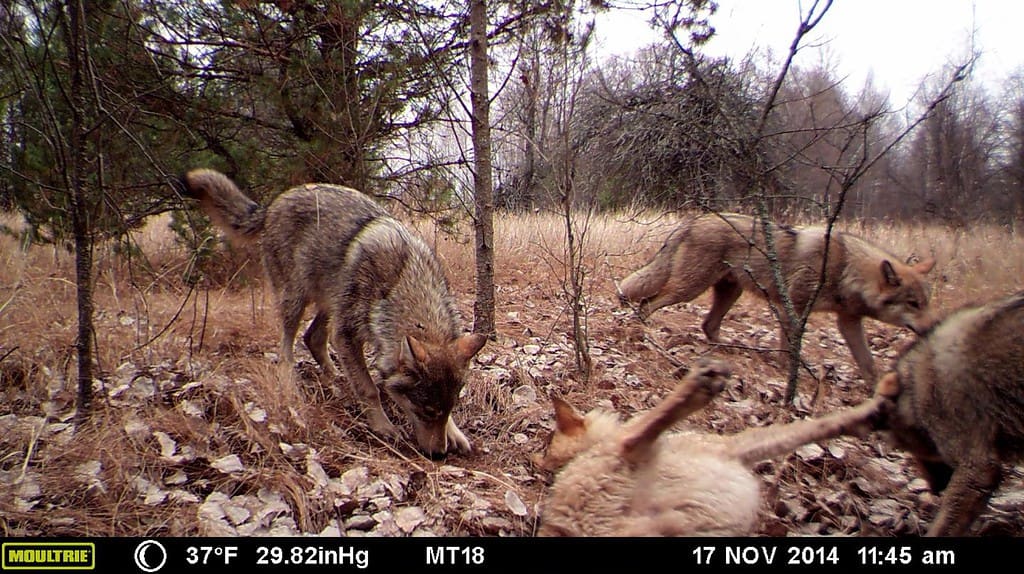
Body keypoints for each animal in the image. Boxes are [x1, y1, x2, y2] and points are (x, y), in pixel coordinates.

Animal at [182, 168, 485, 456]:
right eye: (426, 411)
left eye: (448, 409)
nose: (439, 454)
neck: (403, 281)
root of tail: (276, 201)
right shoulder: (346, 334)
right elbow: (369, 389)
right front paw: (383, 427)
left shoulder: (346, 331)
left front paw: (455, 435)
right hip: (297, 299)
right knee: (287, 346)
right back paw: (290, 380)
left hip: (331, 302)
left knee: (313, 338)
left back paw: (335, 378)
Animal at [536, 360, 897, 536]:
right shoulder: (732, 445)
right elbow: (802, 429)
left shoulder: (736, 448)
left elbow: (810, 428)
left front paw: (869, 414)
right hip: (633, 460)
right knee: (637, 436)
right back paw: (700, 383)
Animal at [614, 212, 937, 382]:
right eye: (913, 304)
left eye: (925, 304)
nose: (933, 328)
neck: (845, 267)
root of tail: (693, 220)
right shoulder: (792, 308)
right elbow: (790, 346)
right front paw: (787, 372)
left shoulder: (848, 321)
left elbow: (868, 363)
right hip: (690, 288)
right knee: (648, 303)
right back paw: (646, 331)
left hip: (729, 291)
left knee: (708, 325)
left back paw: (732, 351)